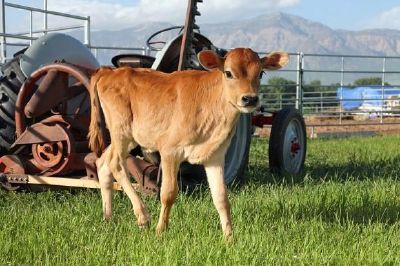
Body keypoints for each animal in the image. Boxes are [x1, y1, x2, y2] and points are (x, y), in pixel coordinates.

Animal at [88, 47, 288, 237]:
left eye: (261, 73)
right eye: (228, 73)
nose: (250, 99)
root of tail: (109, 71)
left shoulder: (215, 157)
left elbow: (221, 198)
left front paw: (229, 238)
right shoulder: (170, 151)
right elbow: (168, 193)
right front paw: (160, 231)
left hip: (130, 137)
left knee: (103, 162)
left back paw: (107, 218)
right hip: (121, 130)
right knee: (116, 163)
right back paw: (143, 216)